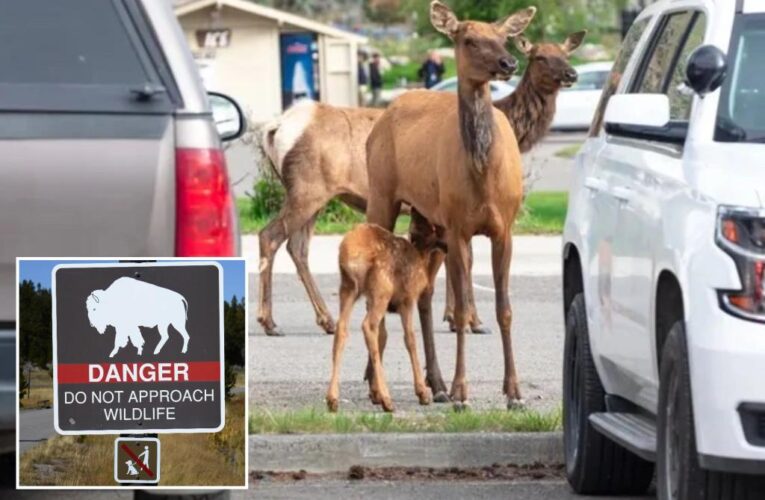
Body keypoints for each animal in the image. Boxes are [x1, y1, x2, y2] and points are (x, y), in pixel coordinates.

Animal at [258, 30, 584, 336]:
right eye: (540, 57)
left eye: (565, 53)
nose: (572, 74)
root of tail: (276, 127)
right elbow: (463, 261)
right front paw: (472, 320)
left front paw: (453, 317)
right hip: (308, 189)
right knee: (271, 236)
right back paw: (270, 321)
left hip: (311, 195)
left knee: (297, 247)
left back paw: (325, 320)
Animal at [326, 221, 444, 412]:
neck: (421, 256)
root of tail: (349, 252)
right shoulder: (407, 299)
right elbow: (410, 339)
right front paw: (422, 393)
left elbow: (383, 337)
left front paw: (374, 393)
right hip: (382, 288)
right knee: (368, 326)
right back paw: (387, 400)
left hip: (348, 289)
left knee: (342, 329)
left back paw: (332, 398)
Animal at [362, 0, 532, 406]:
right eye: (468, 39)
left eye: (504, 37)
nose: (508, 63)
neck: (484, 174)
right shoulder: (458, 228)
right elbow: (462, 309)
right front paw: (461, 390)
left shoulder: (504, 229)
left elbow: (503, 309)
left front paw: (513, 391)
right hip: (383, 194)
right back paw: (377, 385)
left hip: (427, 222)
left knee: (423, 295)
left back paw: (434, 383)